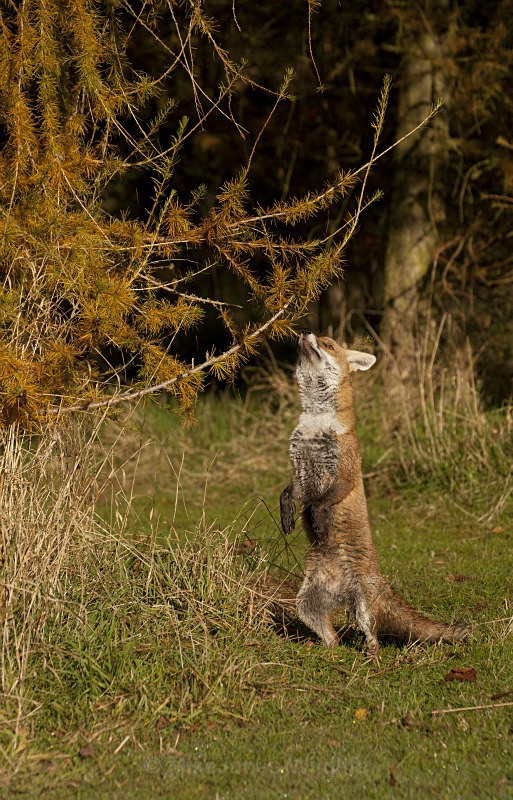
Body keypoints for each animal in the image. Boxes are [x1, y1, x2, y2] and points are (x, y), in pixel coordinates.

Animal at [280, 331, 469, 659]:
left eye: (328, 344)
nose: (304, 333)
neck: (317, 422)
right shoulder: (300, 468)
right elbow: (288, 494)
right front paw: (287, 515)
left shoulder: (344, 471)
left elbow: (322, 501)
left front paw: (318, 520)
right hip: (306, 604)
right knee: (333, 637)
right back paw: (329, 653)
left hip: (364, 608)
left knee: (373, 635)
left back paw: (371, 658)